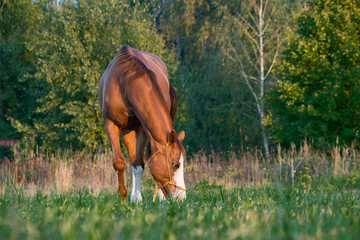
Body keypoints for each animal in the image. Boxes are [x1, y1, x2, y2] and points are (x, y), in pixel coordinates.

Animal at [98, 45, 187, 202]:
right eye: (176, 165)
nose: (181, 198)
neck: (125, 83)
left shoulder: (142, 128)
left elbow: (139, 164)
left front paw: (137, 198)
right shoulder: (111, 124)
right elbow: (119, 162)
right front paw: (123, 198)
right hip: (127, 130)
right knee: (131, 157)